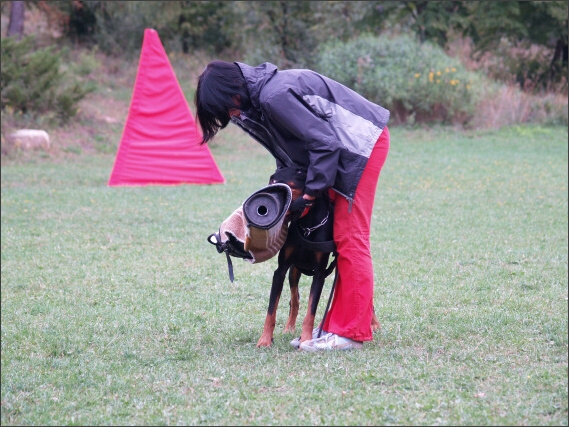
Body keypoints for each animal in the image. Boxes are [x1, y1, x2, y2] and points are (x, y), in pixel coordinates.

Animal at [255, 166, 380, 350]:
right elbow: (271, 309)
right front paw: (265, 340)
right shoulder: (281, 270)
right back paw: (289, 327)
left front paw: (306, 339)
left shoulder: (320, 274)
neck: (308, 225)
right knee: (295, 299)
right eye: (272, 180)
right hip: (294, 271)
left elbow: (311, 312)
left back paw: (374, 323)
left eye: (300, 173)